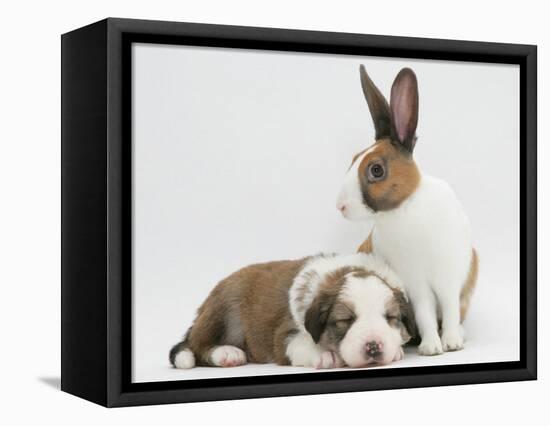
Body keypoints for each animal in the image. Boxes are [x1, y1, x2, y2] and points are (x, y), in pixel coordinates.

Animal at [170, 253, 416, 370]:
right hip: (224, 306)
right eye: (345, 320)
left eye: (391, 318)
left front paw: (396, 350)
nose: (373, 346)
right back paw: (227, 353)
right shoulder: (284, 336)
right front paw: (325, 354)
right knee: (197, 345)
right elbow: (300, 344)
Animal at [336, 65, 478, 354]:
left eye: (376, 170)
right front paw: (431, 348)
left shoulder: (449, 276)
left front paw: (452, 343)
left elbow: (450, 310)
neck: (405, 208)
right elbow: (425, 314)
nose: (340, 206)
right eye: (353, 159)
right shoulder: (415, 284)